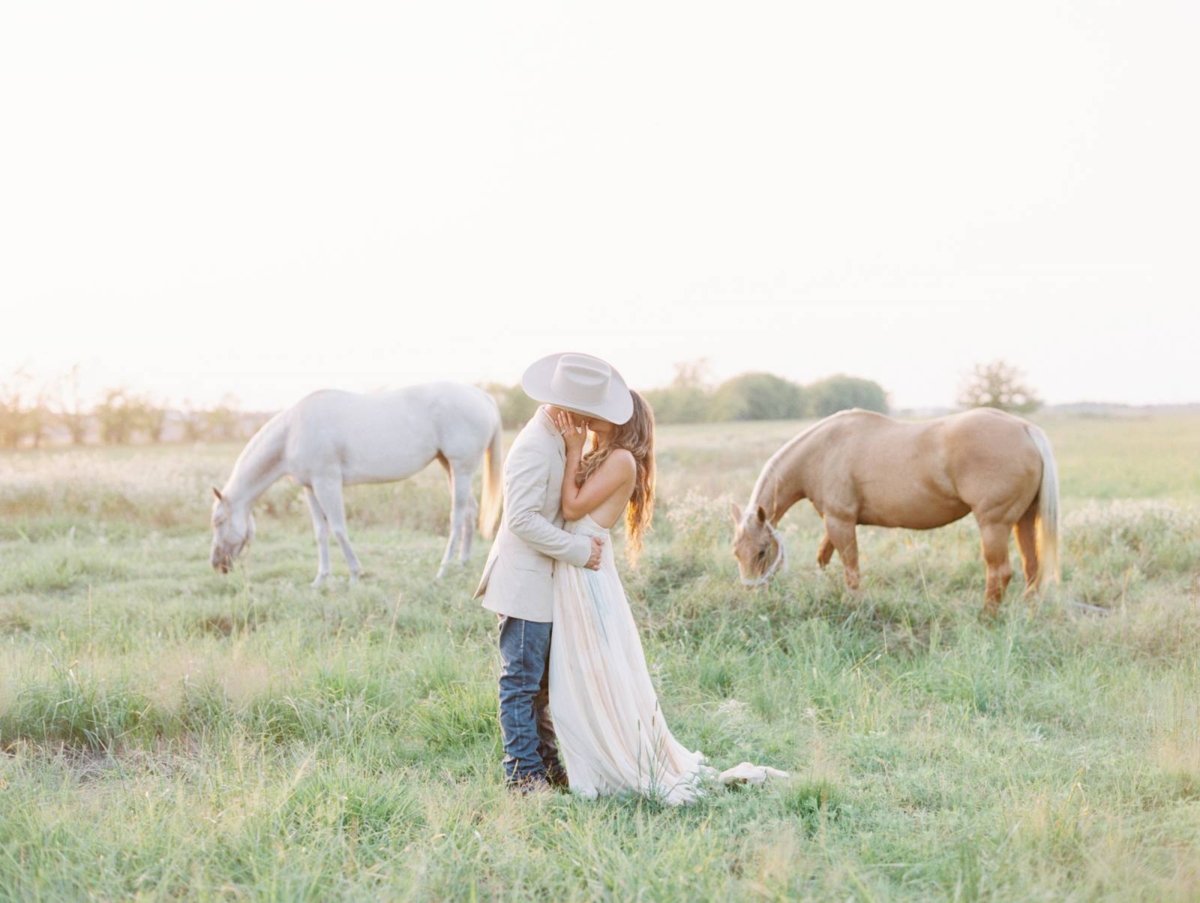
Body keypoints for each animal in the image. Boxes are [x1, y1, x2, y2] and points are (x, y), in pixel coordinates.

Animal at [211, 381, 501, 585]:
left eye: (218, 521)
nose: (216, 564)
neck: (292, 432)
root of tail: (483, 397)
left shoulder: (327, 483)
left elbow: (339, 529)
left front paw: (354, 574)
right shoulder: (310, 489)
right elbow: (321, 533)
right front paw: (321, 579)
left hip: (460, 468)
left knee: (457, 517)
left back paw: (443, 570)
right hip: (449, 467)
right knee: (470, 512)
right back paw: (462, 563)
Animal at [729, 408, 1060, 614]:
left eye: (762, 550)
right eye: (736, 552)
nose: (751, 594)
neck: (822, 451)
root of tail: (1025, 429)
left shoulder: (841, 521)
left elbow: (851, 571)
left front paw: (855, 606)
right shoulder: (833, 522)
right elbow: (823, 557)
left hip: (994, 525)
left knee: (1000, 573)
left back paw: (985, 619)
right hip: (1024, 520)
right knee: (1032, 569)